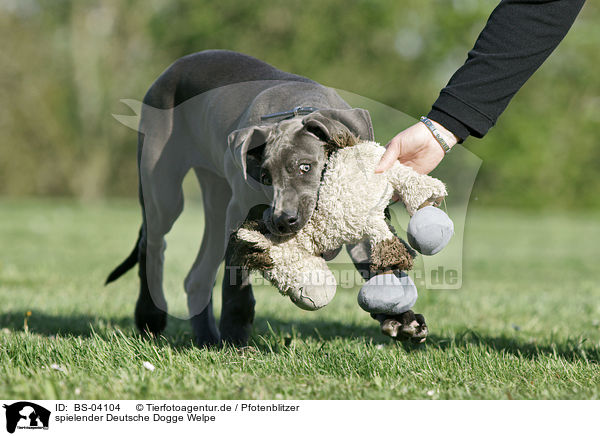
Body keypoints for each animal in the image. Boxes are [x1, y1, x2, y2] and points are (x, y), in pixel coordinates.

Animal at [106, 49, 426, 346]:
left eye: (304, 167)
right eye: (265, 178)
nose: (283, 221)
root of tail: (171, 70)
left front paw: (401, 318)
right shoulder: (239, 216)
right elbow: (236, 285)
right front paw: (235, 338)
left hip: (216, 198)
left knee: (196, 276)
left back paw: (206, 338)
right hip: (164, 188)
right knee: (153, 244)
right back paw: (150, 317)